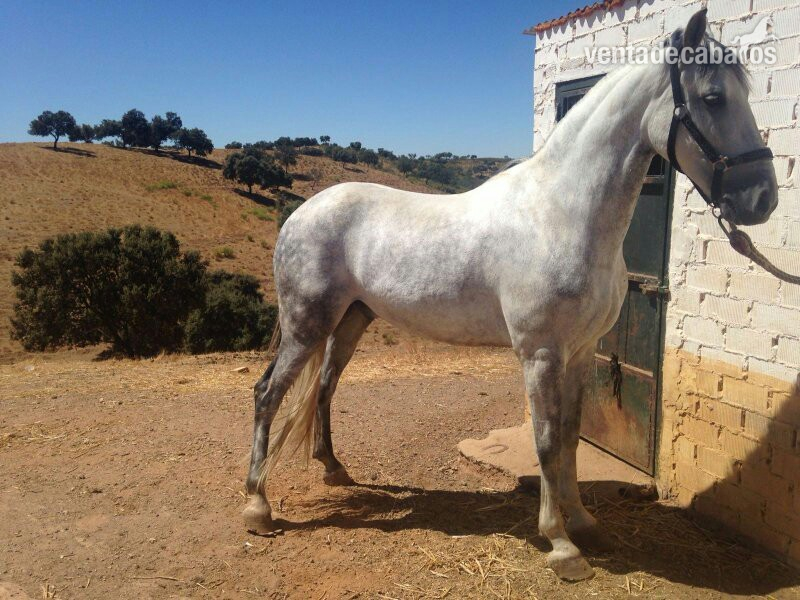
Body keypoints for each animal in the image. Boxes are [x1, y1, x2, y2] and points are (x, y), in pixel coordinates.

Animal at [242, 9, 778, 581]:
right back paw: (257, 506)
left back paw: (333, 468)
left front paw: (584, 522)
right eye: (714, 97)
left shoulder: (581, 352)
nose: (762, 198)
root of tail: (299, 213)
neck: (562, 214)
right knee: (268, 393)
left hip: (351, 320)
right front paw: (561, 544)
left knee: (325, 386)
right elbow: (545, 442)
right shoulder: (540, 353)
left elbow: (569, 436)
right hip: (306, 326)